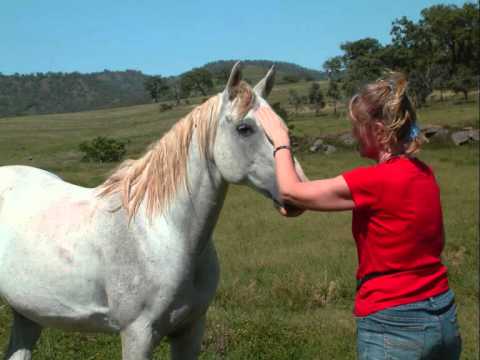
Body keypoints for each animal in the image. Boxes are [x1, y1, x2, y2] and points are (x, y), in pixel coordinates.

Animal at [0, 63, 306, 358]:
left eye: (282, 126)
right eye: (244, 129)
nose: (297, 189)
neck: (161, 233)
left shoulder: (190, 330)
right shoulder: (137, 333)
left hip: (28, 313)